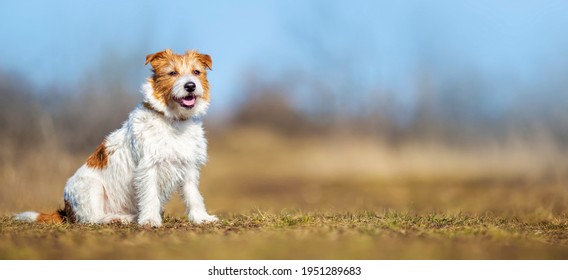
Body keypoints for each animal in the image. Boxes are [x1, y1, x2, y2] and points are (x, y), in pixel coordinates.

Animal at [15, 49, 220, 226]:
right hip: (93, 187)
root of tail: (66, 211)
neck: (174, 121)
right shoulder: (148, 168)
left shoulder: (189, 168)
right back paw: (119, 218)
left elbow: (194, 196)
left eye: (196, 72)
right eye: (172, 73)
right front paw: (150, 220)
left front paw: (202, 218)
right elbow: (150, 196)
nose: (190, 86)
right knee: (93, 219)